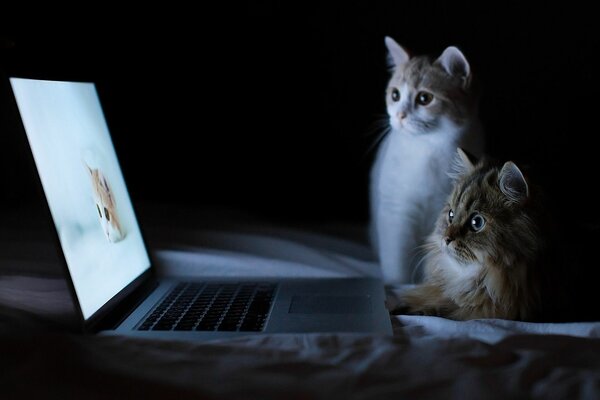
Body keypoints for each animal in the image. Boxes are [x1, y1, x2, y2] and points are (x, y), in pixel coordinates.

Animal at [370, 36, 482, 282]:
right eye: (395, 95)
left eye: (424, 98)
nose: (399, 115)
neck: (428, 149)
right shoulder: (397, 211)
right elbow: (398, 262)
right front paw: (396, 287)